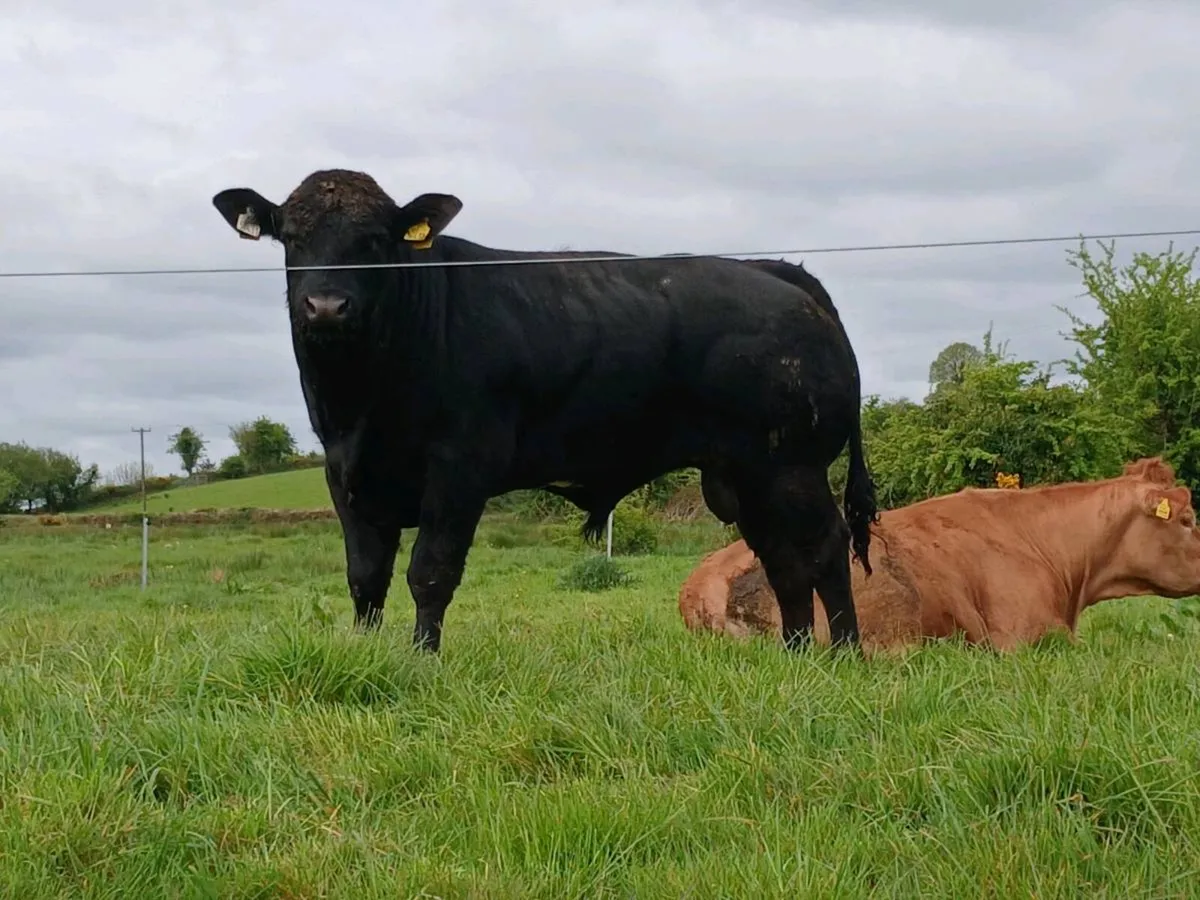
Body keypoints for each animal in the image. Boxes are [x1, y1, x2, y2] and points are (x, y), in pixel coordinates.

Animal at [211, 168, 878, 654]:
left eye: (375, 241)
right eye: (293, 238)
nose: (326, 306)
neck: (362, 400)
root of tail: (777, 272)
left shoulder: (458, 469)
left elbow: (430, 572)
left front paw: (422, 660)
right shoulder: (346, 475)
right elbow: (365, 579)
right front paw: (369, 654)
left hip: (791, 467)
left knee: (824, 547)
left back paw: (843, 653)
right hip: (747, 475)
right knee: (782, 561)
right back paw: (793, 654)